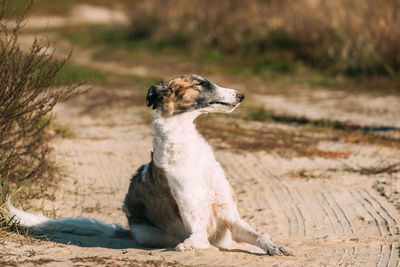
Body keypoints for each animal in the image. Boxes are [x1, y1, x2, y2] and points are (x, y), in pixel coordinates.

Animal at [7, 74, 292, 256]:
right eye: (201, 83)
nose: (240, 95)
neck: (187, 146)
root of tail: (128, 228)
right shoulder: (197, 225)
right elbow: (197, 241)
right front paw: (188, 247)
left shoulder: (229, 215)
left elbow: (260, 235)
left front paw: (276, 247)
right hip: (151, 234)